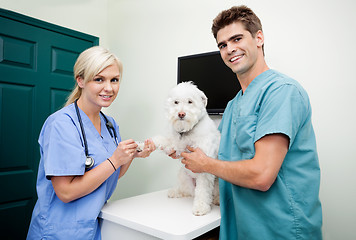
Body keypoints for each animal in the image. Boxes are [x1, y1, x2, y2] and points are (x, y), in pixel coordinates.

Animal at [141, 82, 220, 216]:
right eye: (176, 102)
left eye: (190, 101)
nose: (181, 114)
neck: (187, 131)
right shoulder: (173, 143)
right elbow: (160, 139)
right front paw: (143, 145)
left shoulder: (203, 166)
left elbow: (203, 191)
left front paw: (200, 207)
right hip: (183, 175)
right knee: (187, 191)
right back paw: (175, 192)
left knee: (209, 194)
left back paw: (216, 200)